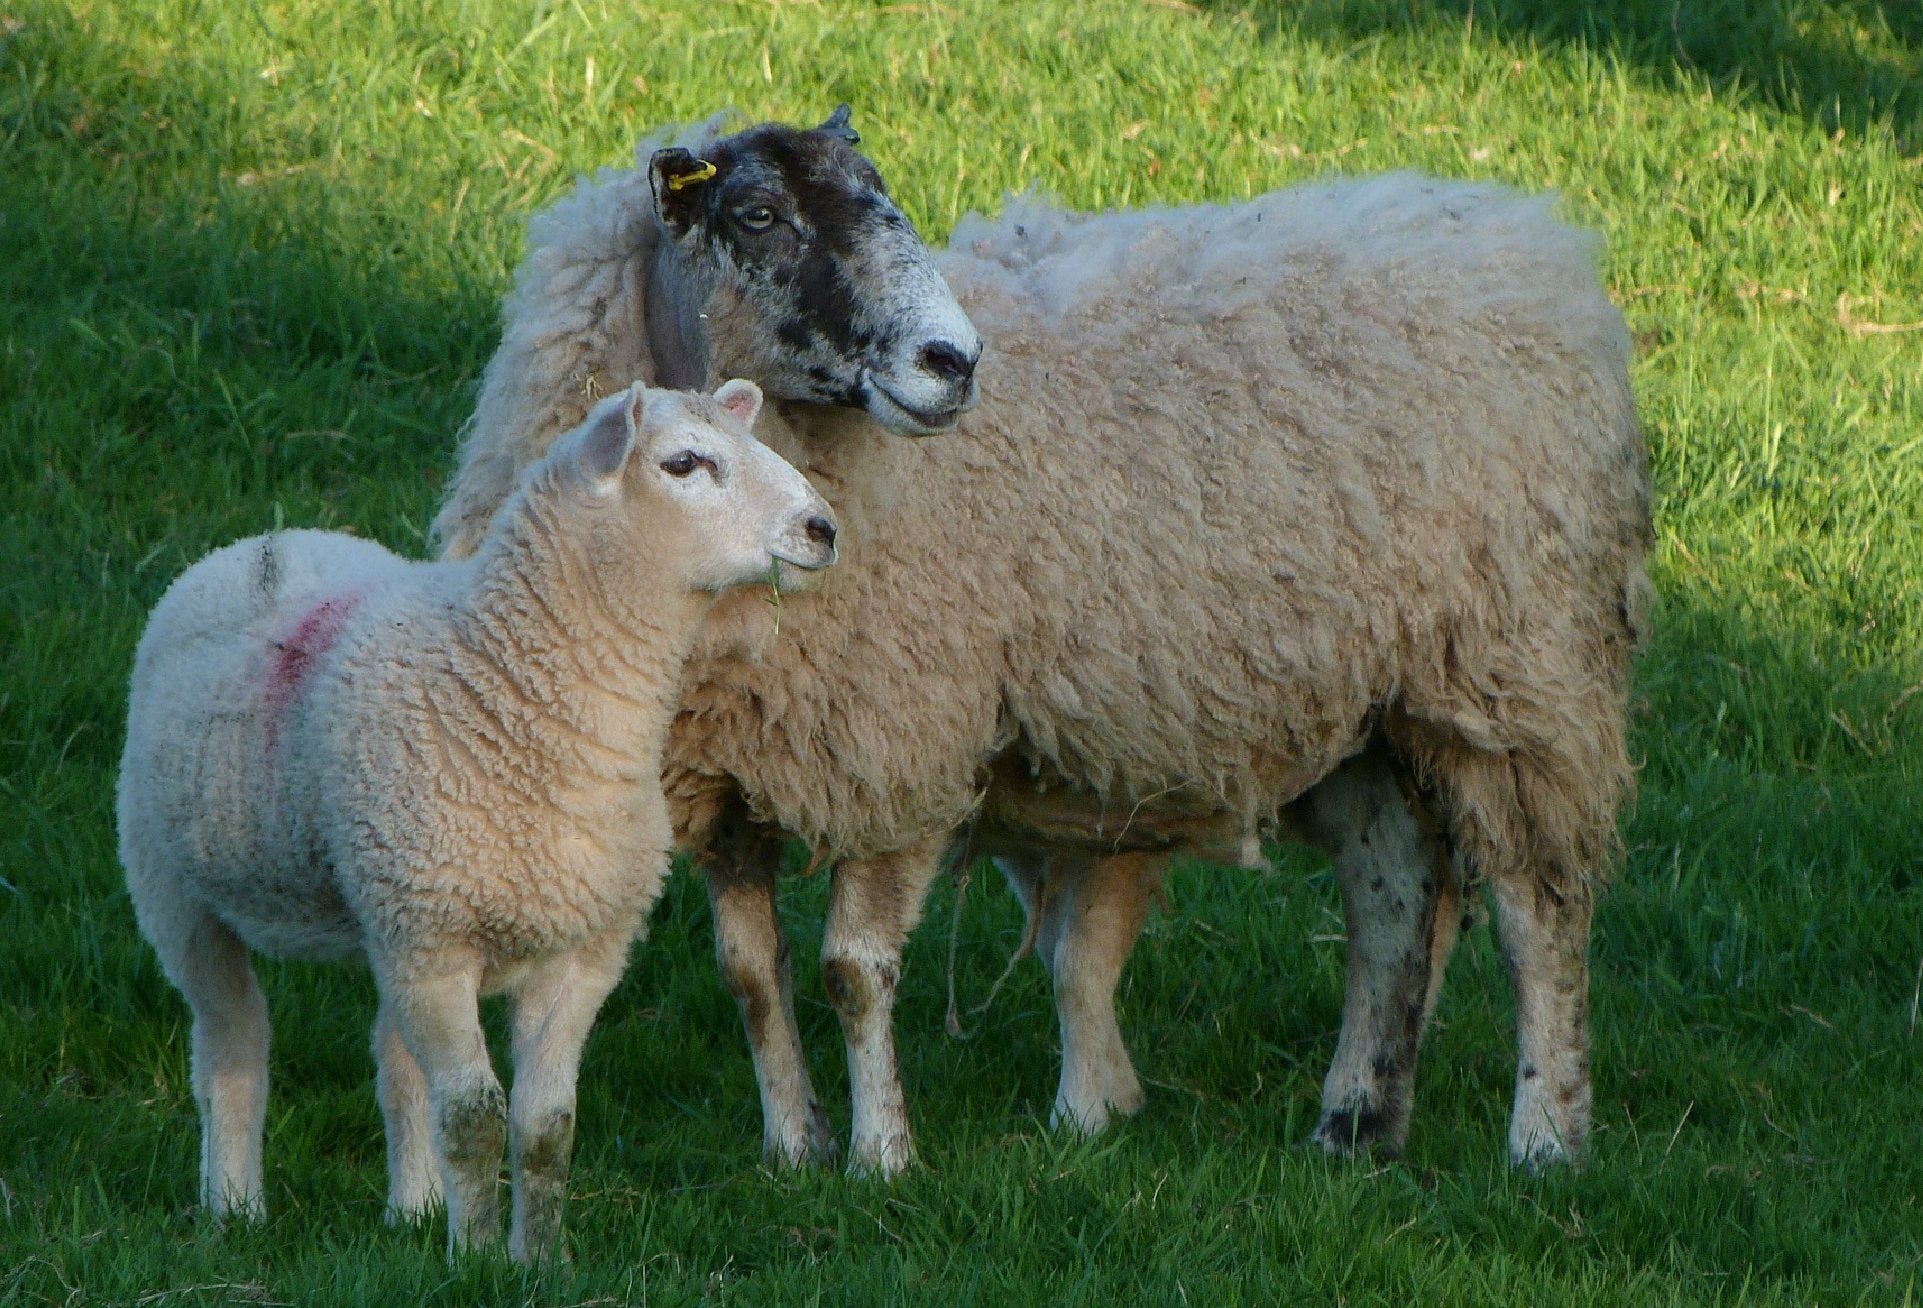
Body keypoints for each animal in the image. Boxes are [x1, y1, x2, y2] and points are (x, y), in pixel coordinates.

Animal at [117, 379, 838, 1260]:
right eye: (683, 463)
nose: (823, 529)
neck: (506, 686)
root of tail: (268, 539)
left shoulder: (581, 952)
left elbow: (546, 1123)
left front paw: (539, 1260)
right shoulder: (436, 945)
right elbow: (472, 1116)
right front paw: (477, 1261)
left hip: (387, 911)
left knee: (396, 1064)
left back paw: (416, 1209)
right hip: (176, 888)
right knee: (233, 1048)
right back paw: (233, 1209)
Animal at [433, 110, 1651, 1176]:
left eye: (883, 196)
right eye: (759, 216)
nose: (953, 360)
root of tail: (1521, 231)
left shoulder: (903, 740)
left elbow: (852, 972)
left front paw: (881, 1158)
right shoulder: (726, 775)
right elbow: (750, 974)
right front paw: (793, 1144)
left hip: (1515, 670)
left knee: (1538, 911)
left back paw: (1546, 1137)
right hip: (1363, 697)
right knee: (1394, 886)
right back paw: (1356, 1121)